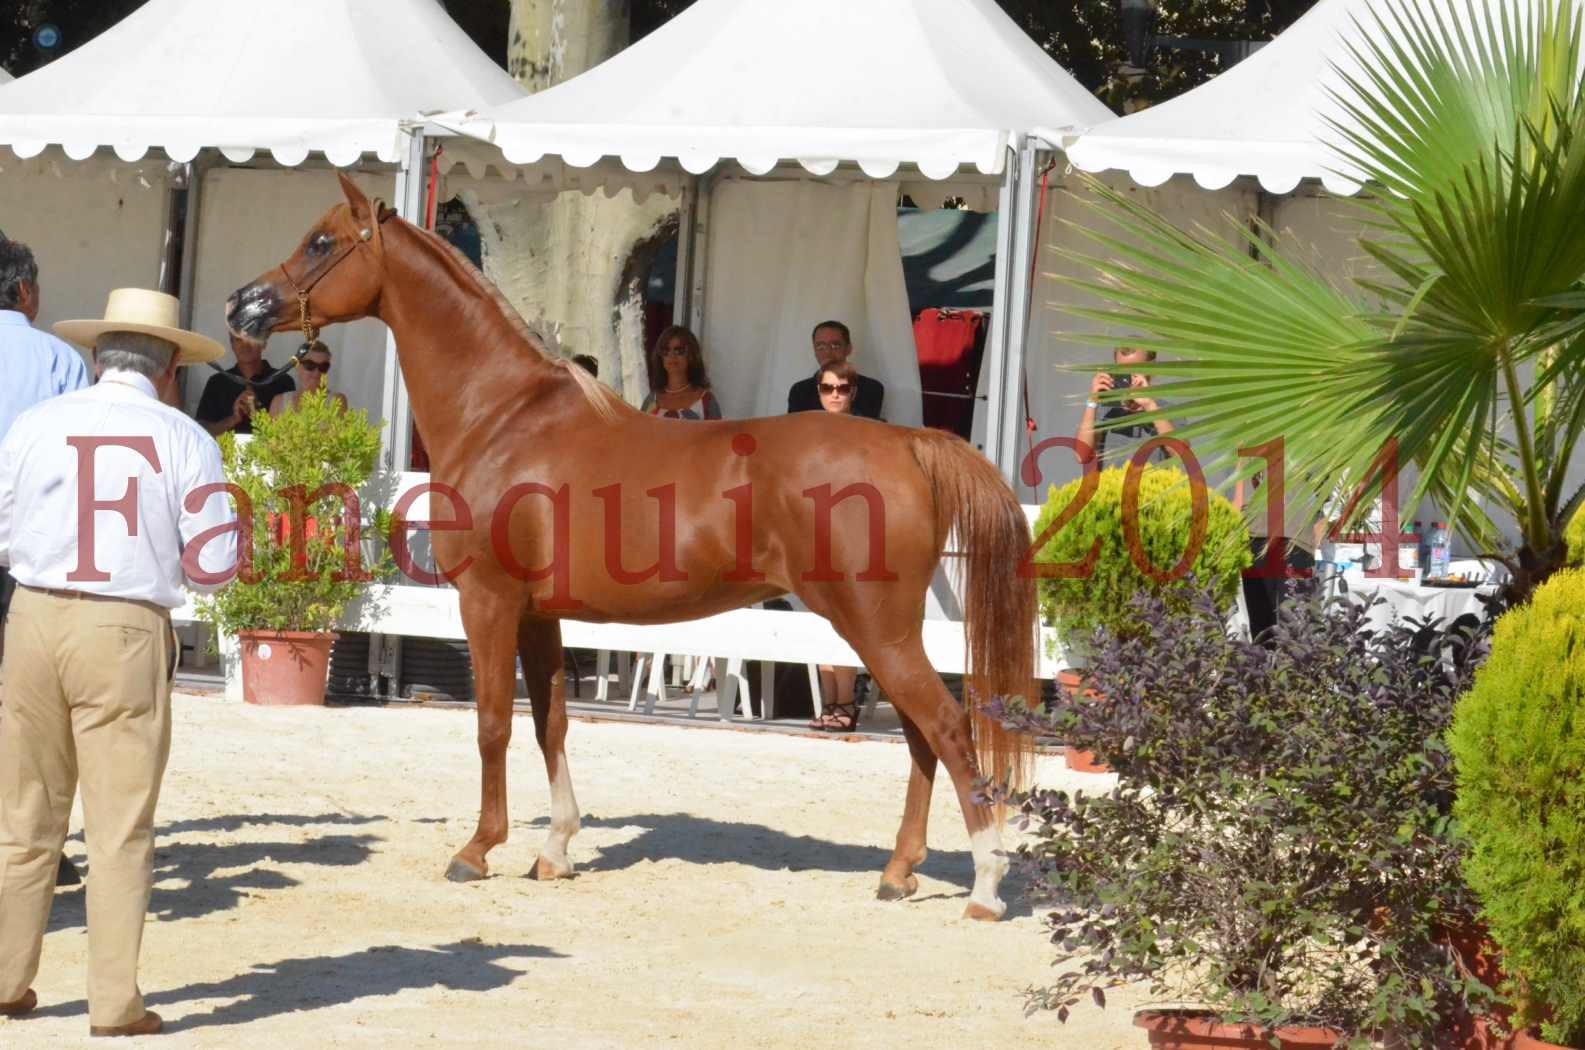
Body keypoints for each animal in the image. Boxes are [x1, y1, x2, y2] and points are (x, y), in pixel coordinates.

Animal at [226, 174, 1039, 919]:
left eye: (323, 243)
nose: (242, 306)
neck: (503, 417)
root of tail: (908, 442)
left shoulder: (487, 603)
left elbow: (492, 724)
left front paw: (477, 850)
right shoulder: (539, 614)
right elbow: (550, 720)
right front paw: (554, 850)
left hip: (875, 628)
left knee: (945, 728)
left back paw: (985, 885)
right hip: (877, 631)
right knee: (922, 738)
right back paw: (898, 874)